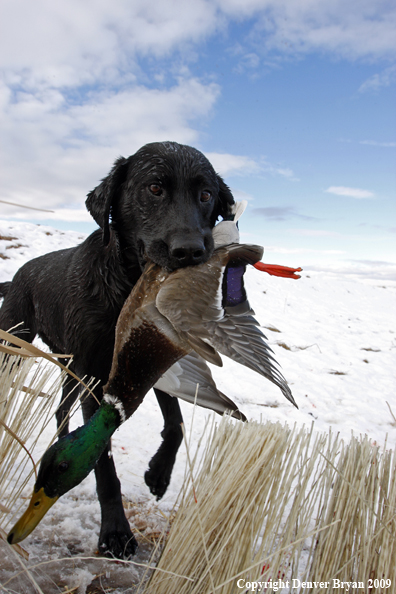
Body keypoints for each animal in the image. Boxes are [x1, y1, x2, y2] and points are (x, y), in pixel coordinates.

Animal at [0, 141, 234, 556]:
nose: (190, 251)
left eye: (206, 195)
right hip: (19, 345)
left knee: (61, 409)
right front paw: (115, 532)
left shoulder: (144, 361)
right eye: (154, 188)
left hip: (70, 367)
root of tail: (15, 278)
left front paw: (159, 473)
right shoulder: (98, 379)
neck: (127, 288)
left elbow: (176, 423)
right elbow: (104, 465)